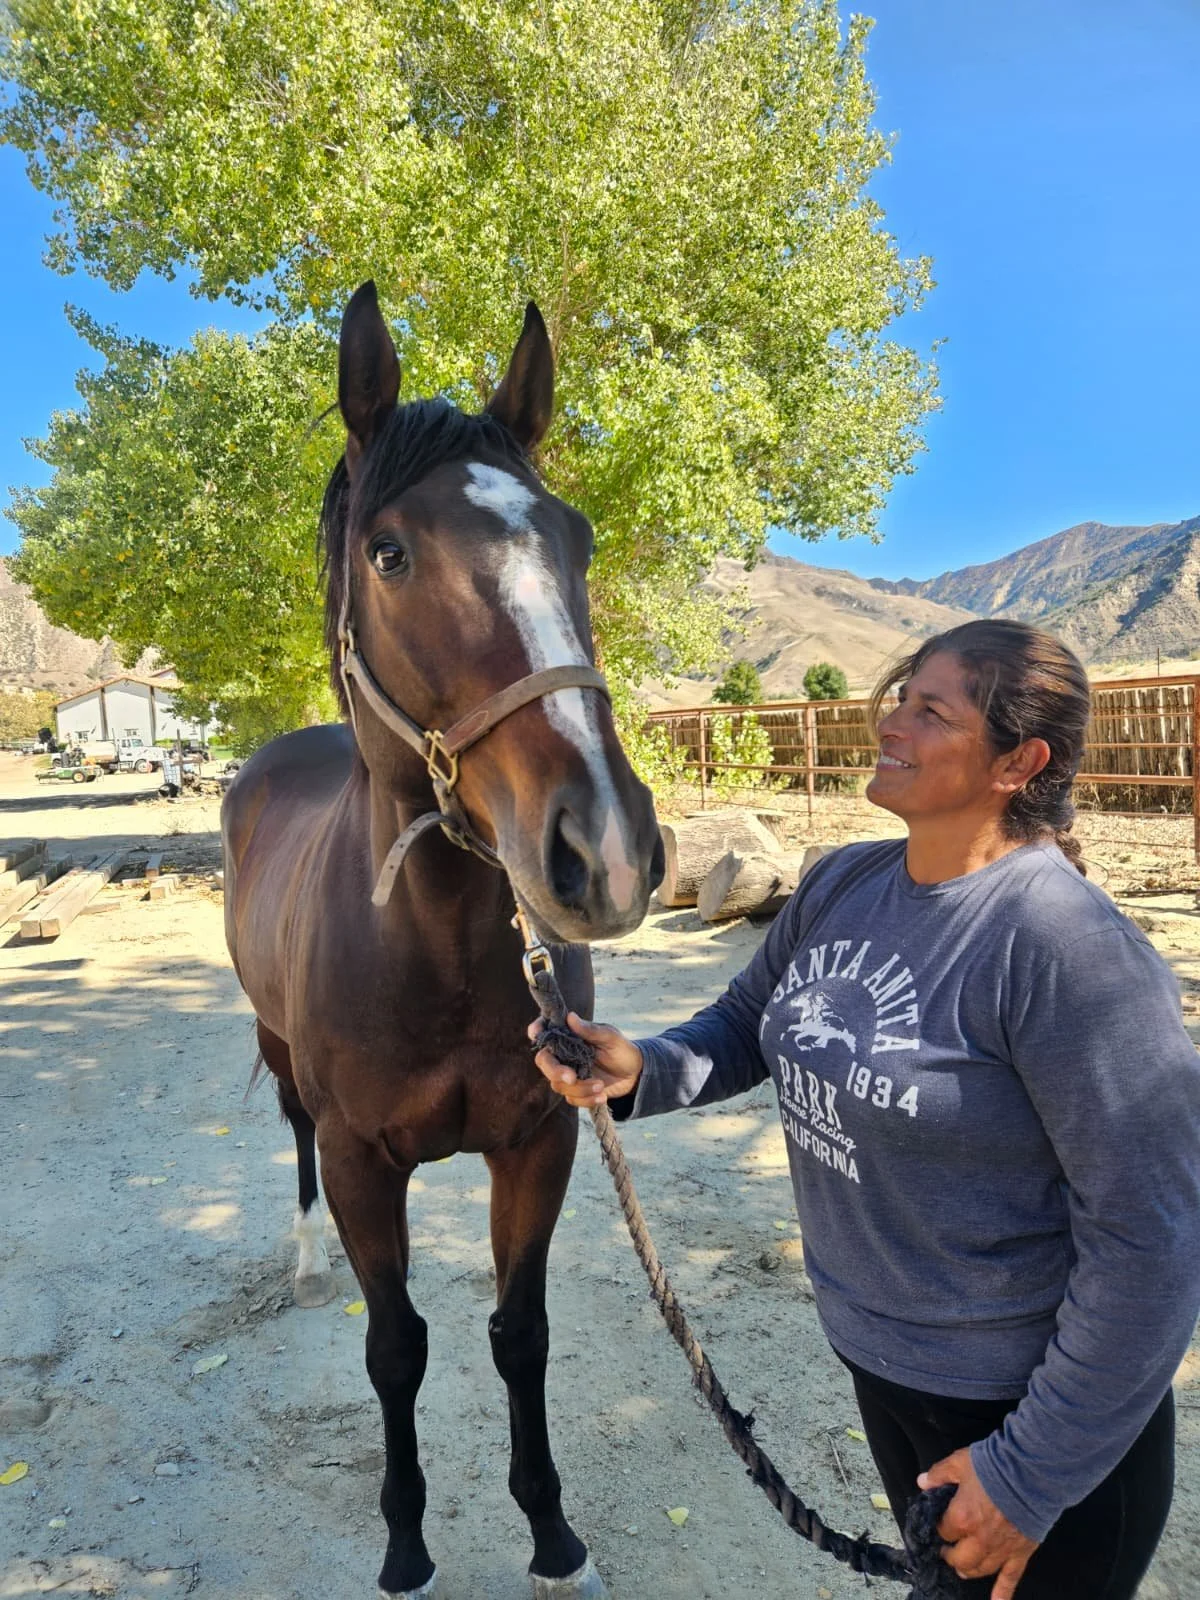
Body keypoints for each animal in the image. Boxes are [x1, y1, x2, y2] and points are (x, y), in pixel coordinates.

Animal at [221, 282, 664, 1600]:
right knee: (293, 1139)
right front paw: (407, 1543)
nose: (605, 846)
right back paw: (302, 1260)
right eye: (389, 551)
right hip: (283, 1062)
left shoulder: (542, 1140)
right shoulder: (367, 1162)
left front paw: (553, 1535)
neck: (437, 954)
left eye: (575, 538)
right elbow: (396, 1347)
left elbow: (519, 1334)